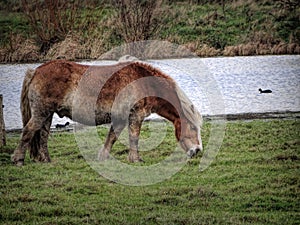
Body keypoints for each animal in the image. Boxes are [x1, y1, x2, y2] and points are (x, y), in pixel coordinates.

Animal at [12, 59, 203, 165]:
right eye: (193, 128)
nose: (197, 151)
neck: (145, 82)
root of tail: (36, 71)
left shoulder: (120, 119)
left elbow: (111, 138)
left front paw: (103, 157)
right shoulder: (135, 116)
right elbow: (134, 138)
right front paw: (136, 160)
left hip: (47, 115)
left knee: (42, 137)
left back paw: (46, 160)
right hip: (41, 113)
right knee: (28, 131)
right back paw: (18, 160)